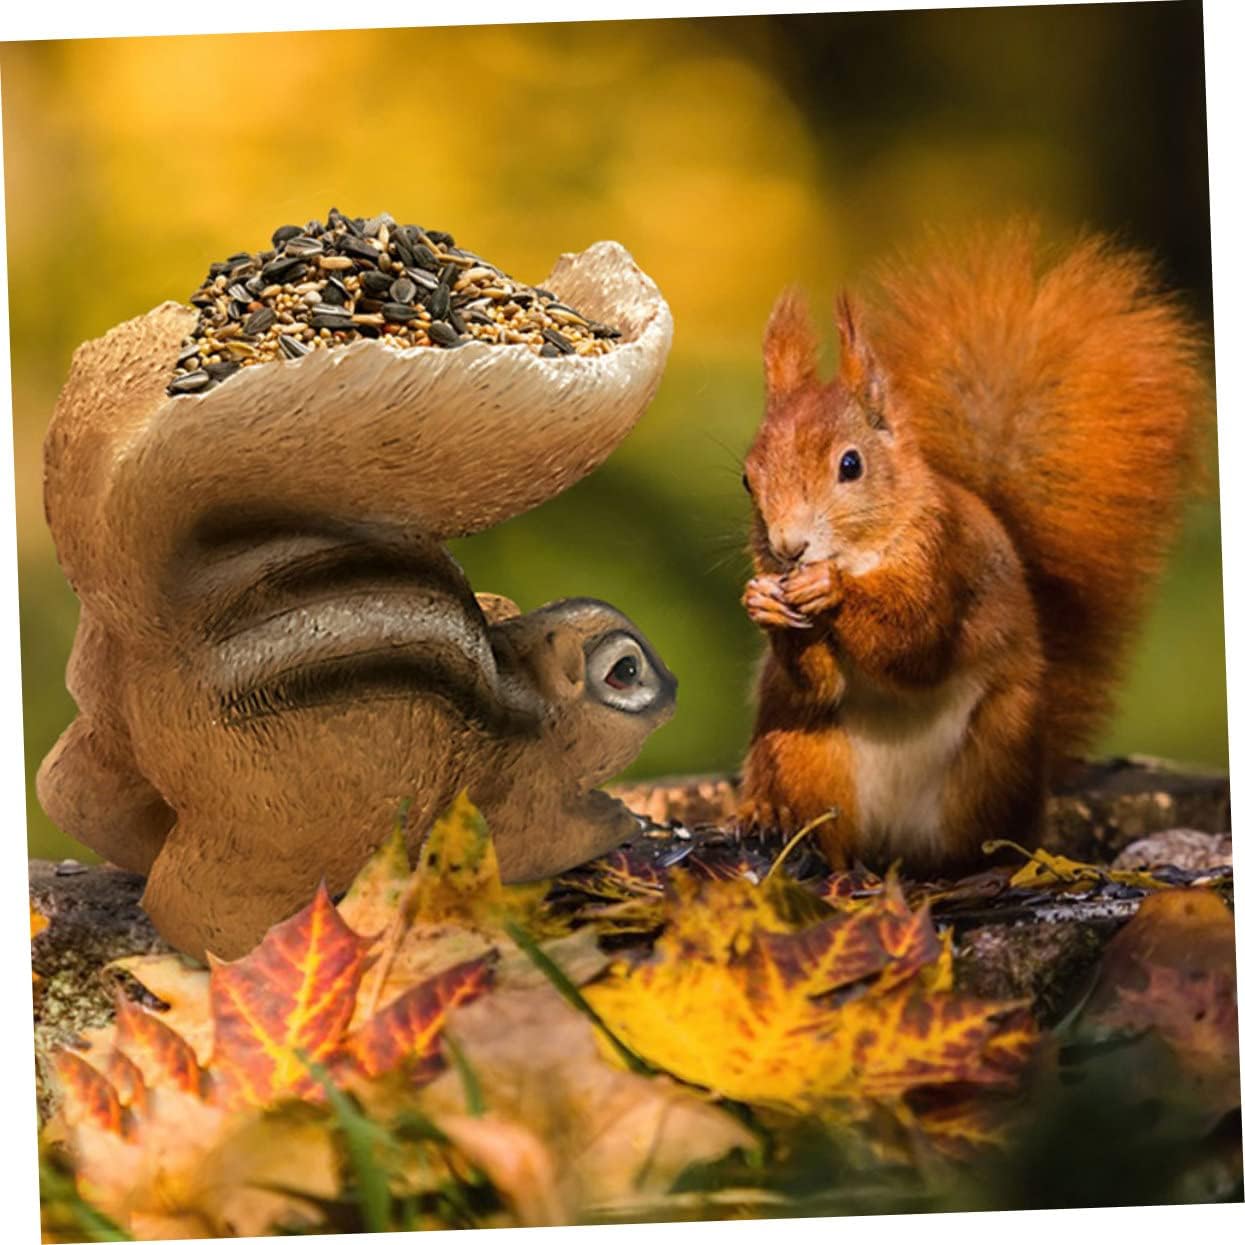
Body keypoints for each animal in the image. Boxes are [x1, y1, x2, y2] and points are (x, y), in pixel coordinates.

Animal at [36, 238, 676, 962]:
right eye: (625, 672)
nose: (674, 688)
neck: (528, 697)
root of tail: (157, 626)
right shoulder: (510, 801)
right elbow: (545, 840)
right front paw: (618, 818)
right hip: (283, 817)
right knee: (194, 900)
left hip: (113, 721)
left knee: (75, 789)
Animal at [737, 222, 1209, 874]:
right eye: (747, 479)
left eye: (851, 466)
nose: (788, 547)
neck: (867, 551)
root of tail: (894, 847)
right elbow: (822, 683)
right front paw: (764, 602)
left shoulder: (944, 560)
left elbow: (914, 643)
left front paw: (828, 590)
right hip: (803, 750)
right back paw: (780, 826)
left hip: (994, 753)